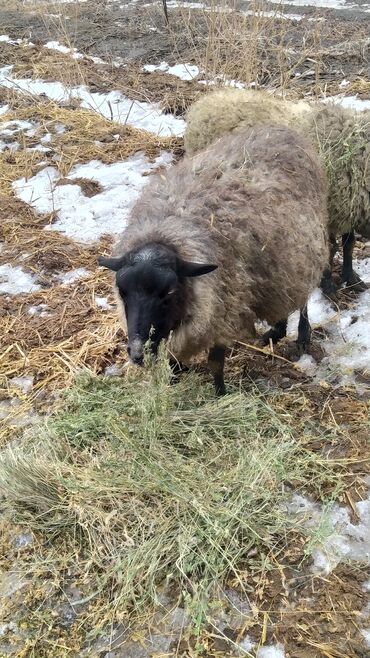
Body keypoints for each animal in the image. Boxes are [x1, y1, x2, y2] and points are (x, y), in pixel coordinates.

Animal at [97, 121, 326, 394]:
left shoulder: (223, 311)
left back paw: (302, 335)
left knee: (302, 298)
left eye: (168, 293)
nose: (137, 354)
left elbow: (215, 363)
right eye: (122, 292)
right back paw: (276, 330)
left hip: (305, 247)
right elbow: (172, 361)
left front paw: (220, 394)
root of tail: (279, 130)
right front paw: (173, 383)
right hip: (279, 264)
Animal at [185, 86, 370, 294]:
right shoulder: (329, 210)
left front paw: (352, 278)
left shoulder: (349, 206)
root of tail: (205, 102)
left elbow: (349, 244)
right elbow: (330, 247)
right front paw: (329, 283)